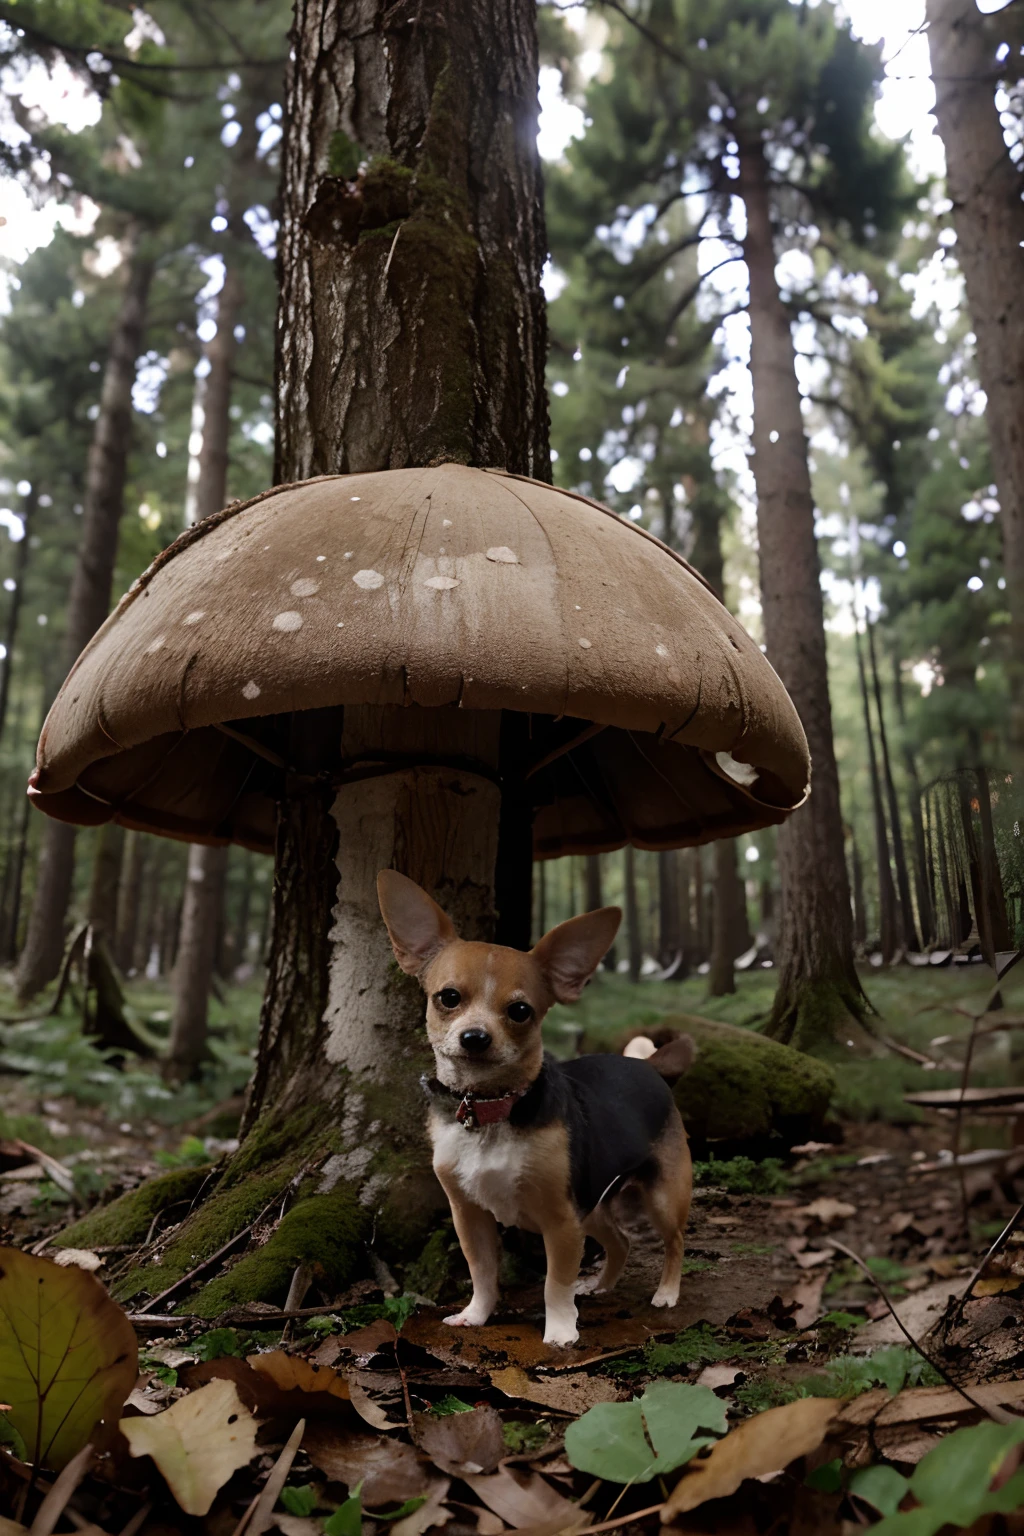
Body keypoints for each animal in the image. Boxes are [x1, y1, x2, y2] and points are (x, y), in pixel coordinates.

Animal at [376, 878, 696, 1345]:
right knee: (621, 1241)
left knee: (674, 1242)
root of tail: (650, 1065)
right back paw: (600, 1286)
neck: (490, 1109)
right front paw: (476, 1315)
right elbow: (482, 1271)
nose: (475, 1037)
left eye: (520, 1011)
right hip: (592, 1208)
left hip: (662, 1196)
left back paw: (667, 1293)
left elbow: (554, 1283)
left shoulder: (561, 1222)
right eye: (448, 998)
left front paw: (560, 1329)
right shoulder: (469, 1216)